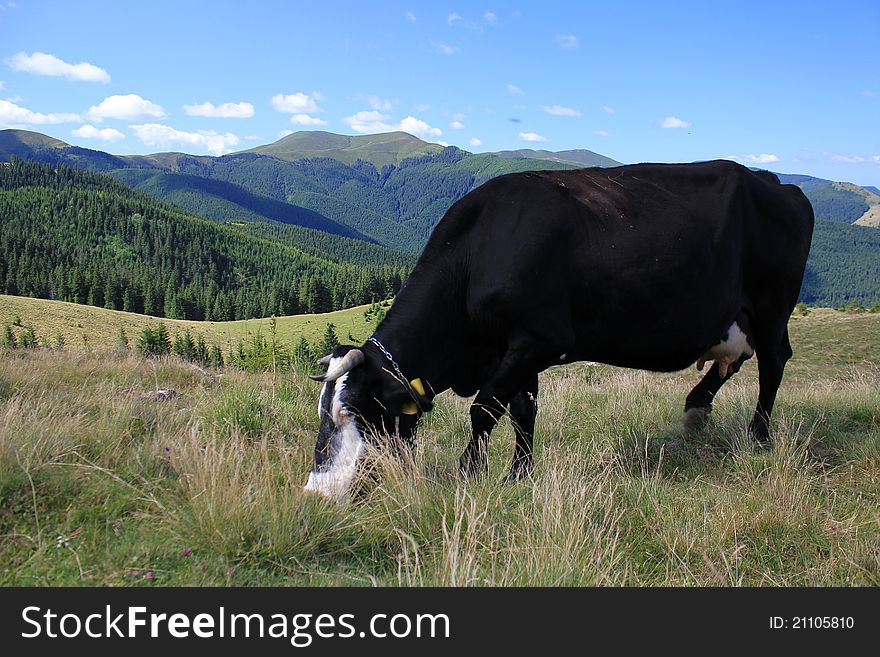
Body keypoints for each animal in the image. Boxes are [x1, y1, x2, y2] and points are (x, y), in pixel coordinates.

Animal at [302, 159, 812, 498]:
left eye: (353, 414)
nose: (315, 494)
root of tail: (774, 181)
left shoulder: (538, 339)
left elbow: (485, 409)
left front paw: (470, 474)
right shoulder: (517, 350)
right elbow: (523, 412)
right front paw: (518, 476)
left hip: (772, 304)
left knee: (773, 361)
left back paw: (758, 436)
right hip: (737, 316)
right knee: (737, 359)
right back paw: (696, 409)